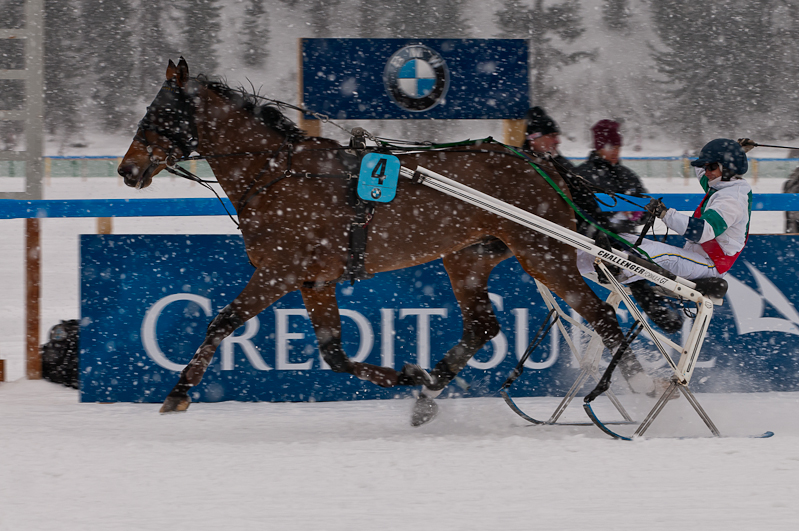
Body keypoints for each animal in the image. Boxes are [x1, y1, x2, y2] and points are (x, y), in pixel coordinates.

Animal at [117, 58, 632, 424]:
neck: (278, 173)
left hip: (544, 253)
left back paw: (633, 389)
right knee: (482, 327)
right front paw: (408, 373)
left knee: (605, 319)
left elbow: (221, 322)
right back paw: (428, 392)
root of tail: (541, 165)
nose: (126, 169)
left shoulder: (279, 271)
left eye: (158, 113)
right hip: (469, 258)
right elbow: (335, 353)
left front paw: (178, 393)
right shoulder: (314, 281)